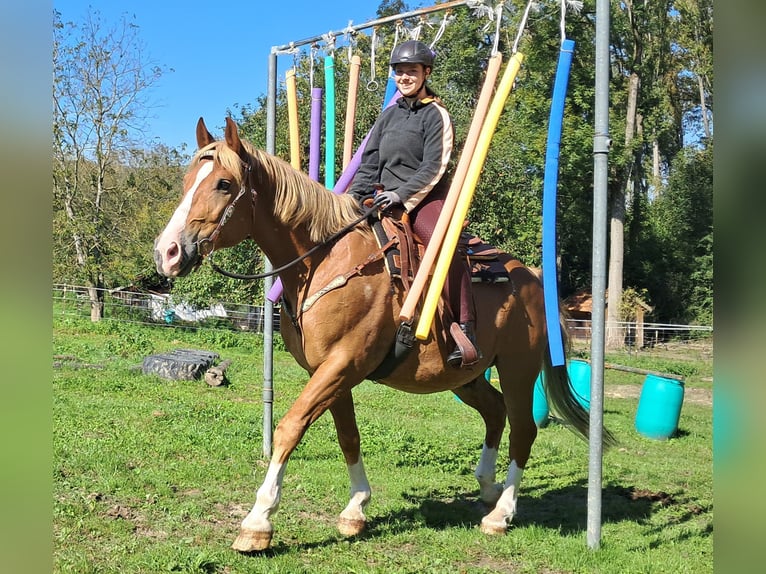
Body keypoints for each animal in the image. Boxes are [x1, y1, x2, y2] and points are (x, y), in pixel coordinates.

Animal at [153, 117, 616, 552]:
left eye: (224, 183)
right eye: (187, 181)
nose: (167, 252)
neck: (325, 258)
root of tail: (534, 278)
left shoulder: (343, 364)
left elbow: (290, 427)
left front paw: (258, 522)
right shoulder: (330, 372)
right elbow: (348, 435)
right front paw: (356, 508)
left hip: (519, 370)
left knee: (523, 429)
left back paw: (500, 514)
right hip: (465, 376)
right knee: (495, 412)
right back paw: (488, 487)